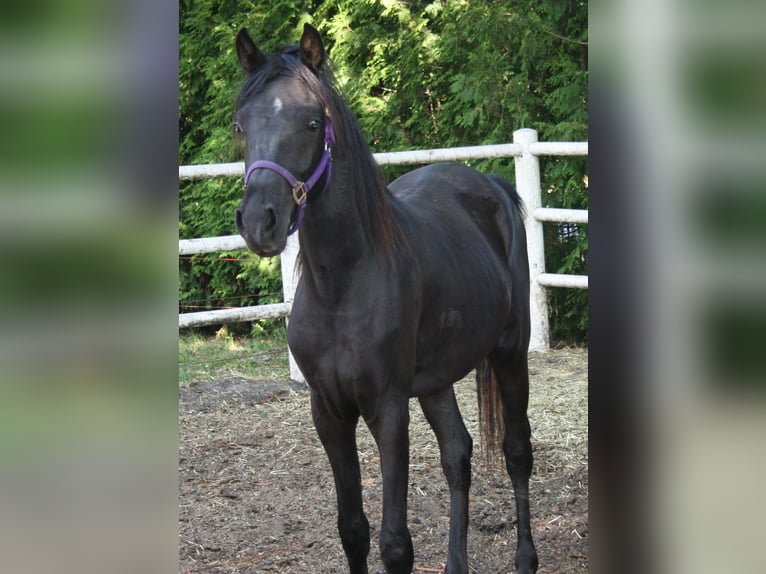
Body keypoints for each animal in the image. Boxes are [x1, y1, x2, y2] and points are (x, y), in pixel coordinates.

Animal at [234, 23, 540, 574]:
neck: (342, 287)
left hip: (510, 351)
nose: (258, 222)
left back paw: (526, 559)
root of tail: (490, 183)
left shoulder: (388, 409)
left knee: (516, 450)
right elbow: (352, 529)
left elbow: (395, 544)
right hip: (436, 378)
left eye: (312, 122)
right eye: (241, 126)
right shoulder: (329, 412)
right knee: (457, 453)